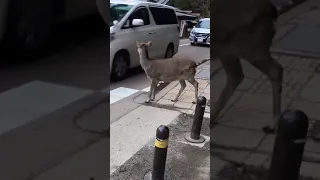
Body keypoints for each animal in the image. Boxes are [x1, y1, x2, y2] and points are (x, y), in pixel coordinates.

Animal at [210, 0, 282, 134]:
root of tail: (270, 8)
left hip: (250, 44)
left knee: (275, 69)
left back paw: (272, 124)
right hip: (228, 49)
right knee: (236, 75)